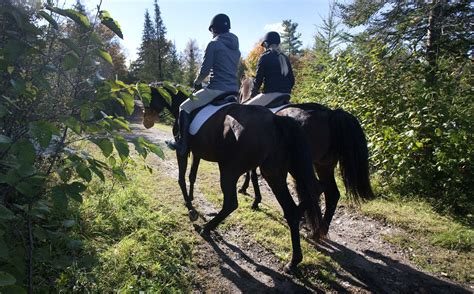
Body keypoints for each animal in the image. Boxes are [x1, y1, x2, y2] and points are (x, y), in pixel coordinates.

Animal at [143, 85, 324, 274]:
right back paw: (294, 260)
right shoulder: (197, 153)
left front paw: (190, 208)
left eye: (148, 96)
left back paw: (207, 229)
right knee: (301, 203)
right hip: (278, 172)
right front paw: (191, 198)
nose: (146, 120)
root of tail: (276, 119)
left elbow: (181, 177)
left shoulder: (183, 151)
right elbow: (192, 176)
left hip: (232, 170)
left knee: (231, 203)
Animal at [239, 77, 376, 233]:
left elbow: (252, 175)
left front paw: (252, 197)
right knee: (331, 194)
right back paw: (320, 229)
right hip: (324, 164)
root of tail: (330, 114)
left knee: (316, 190)